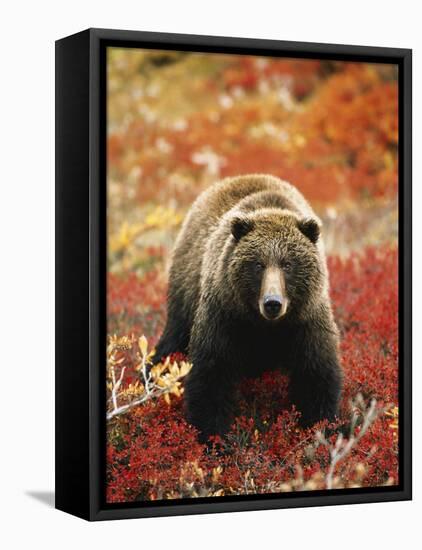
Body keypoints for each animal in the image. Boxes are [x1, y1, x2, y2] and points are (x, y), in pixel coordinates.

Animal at [153, 177, 342, 444]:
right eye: (258, 264)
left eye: (287, 264)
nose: (272, 302)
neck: (265, 325)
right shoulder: (225, 315)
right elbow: (211, 375)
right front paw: (213, 437)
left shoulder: (306, 321)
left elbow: (316, 375)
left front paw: (320, 429)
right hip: (185, 291)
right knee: (171, 341)